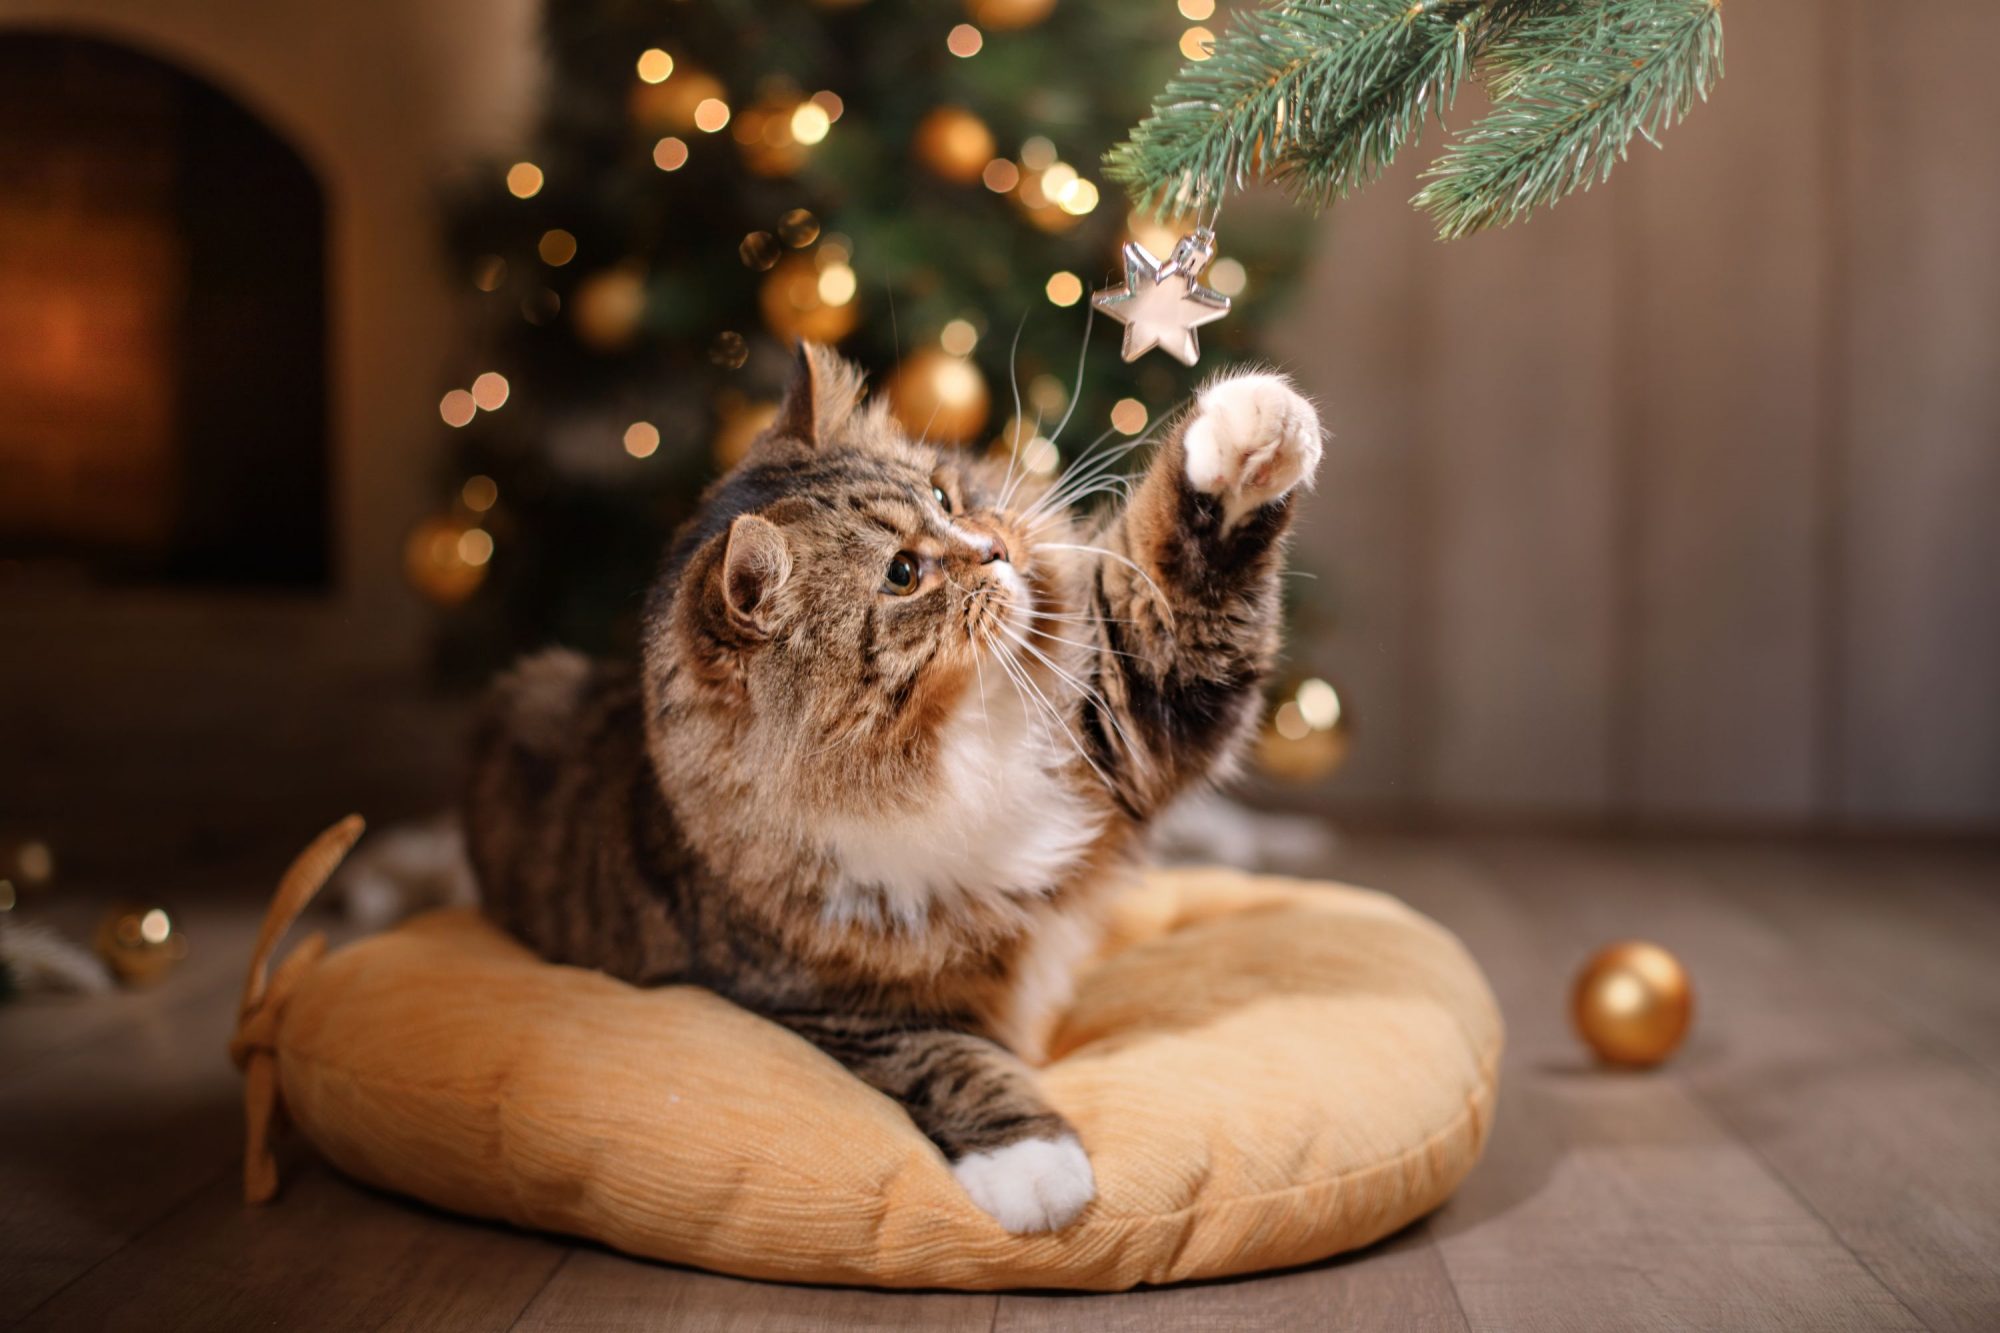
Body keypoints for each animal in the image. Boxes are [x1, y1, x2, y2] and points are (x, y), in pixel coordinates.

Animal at [460, 338, 1320, 1232]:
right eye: (903, 573)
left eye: (943, 493)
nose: (995, 546)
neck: (949, 748)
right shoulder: (829, 1010)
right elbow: (946, 1060)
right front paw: (1037, 1170)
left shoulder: (1119, 716)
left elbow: (1177, 587)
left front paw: (1249, 428)